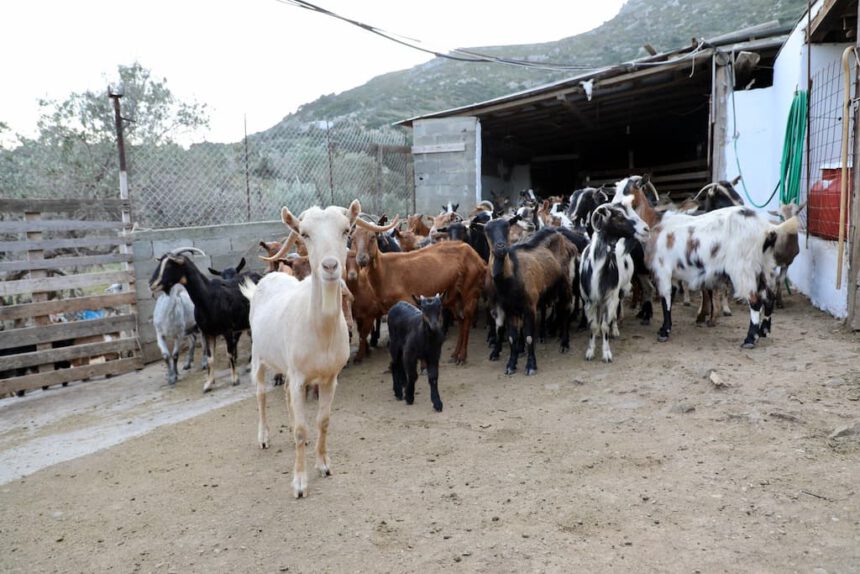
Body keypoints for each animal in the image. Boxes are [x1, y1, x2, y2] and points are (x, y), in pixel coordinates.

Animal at [149, 245, 252, 394]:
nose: (151, 283)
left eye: (169, 265)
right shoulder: (207, 332)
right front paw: (208, 384)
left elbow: (229, 354)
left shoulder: (227, 330)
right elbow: (210, 358)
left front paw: (234, 379)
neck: (208, 296)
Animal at [242, 201, 360, 500]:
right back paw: (263, 437)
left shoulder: (329, 378)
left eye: (346, 230)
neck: (319, 332)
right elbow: (300, 430)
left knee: (284, 393)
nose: (330, 266)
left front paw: (324, 466)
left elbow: (322, 421)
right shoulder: (298, 378)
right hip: (259, 356)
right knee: (260, 394)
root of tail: (268, 277)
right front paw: (299, 484)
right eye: (305, 234)